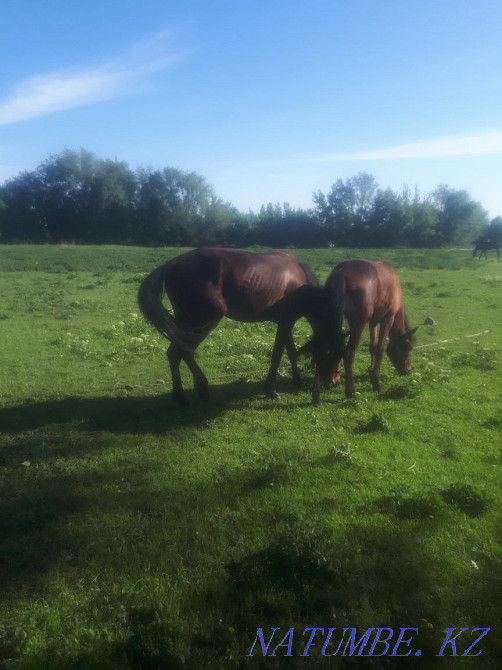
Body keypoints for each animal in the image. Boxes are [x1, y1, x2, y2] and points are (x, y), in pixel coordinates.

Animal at [138, 247, 319, 405]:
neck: (300, 280)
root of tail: (171, 264)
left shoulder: (286, 322)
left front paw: (297, 381)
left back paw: (180, 396)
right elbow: (277, 356)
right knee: (182, 351)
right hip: (203, 321)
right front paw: (270, 390)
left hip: (186, 322)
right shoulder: (285, 321)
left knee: (175, 353)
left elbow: (291, 352)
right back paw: (199, 389)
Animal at [302, 260, 417, 404]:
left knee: (322, 351)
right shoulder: (388, 318)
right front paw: (376, 381)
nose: (408, 370)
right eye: (407, 349)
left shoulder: (373, 322)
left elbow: (372, 346)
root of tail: (342, 273)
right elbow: (380, 348)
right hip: (359, 325)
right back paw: (350, 391)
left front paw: (371, 371)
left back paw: (316, 395)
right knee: (348, 354)